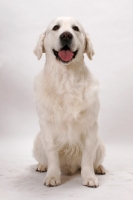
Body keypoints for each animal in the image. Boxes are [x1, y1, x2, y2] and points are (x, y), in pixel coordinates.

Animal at [32, 16, 105, 188]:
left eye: (76, 28)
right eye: (56, 27)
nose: (66, 35)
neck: (66, 79)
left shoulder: (90, 127)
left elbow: (87, 158)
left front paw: (89, 177)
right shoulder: (47, 127)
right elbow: (52, 155)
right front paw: (52, 176)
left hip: (100, 143)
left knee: (96, 160)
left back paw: (99, 168)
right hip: (38, 141)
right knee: (43, 159)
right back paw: (41, 166)